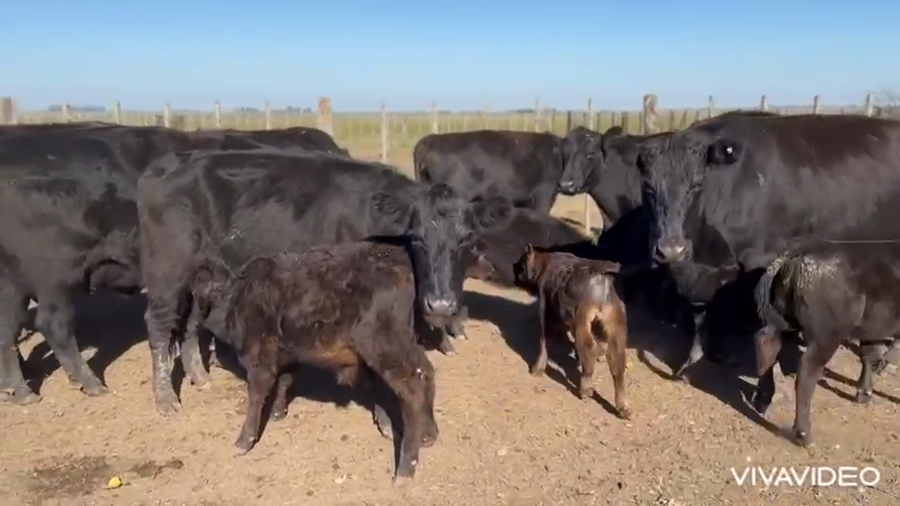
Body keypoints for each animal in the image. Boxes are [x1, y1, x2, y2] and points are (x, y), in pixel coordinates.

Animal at [0, 124, 351, 406]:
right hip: (56, 278)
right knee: (53, 324)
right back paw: (89, 382)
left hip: (16, 284)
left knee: (8, 326)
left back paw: (20, 390)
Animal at [137, 148, 512, 415]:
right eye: (417, 237)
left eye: (467, 239)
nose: (442, 304)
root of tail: (166, 166)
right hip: (166, 271)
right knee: (159, 325)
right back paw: (165, 399)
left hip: (201, 273)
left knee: (189, 324)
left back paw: (199, 377)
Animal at [512, 246, 631, 419]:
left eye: (520, 265)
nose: (513, 271)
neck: (545, 263)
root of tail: (601, 270)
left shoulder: (546, 310)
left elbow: (544, 340)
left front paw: (537, 369)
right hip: (615, 327)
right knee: (617, 360)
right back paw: (623, 407)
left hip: (581, 321)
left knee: (589, 348)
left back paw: (585, 389)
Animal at [638, 113, 900, 381]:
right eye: (648, 188)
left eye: (697, 185)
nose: (671, 250)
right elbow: (703, 315)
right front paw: (695, 360)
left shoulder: (763, 262)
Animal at [751, 240, 900, 446]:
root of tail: (797, 254)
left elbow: (869, 355)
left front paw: (864, 395)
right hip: (827, 336)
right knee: (808, 369)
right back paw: (804, 435)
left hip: (784, 323)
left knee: (767, 345)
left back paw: (763, 401)